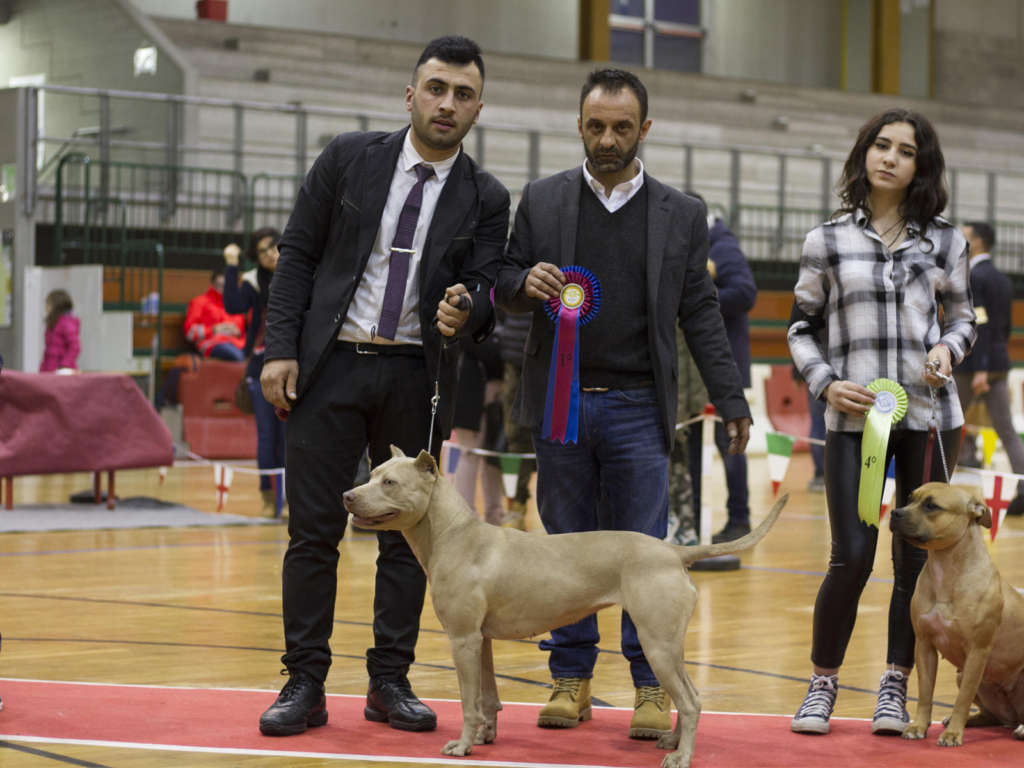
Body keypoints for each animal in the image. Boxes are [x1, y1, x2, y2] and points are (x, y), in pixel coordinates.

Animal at [888, 487, 1024, 745]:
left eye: (932, 506)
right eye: (910, 498)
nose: (895, 512)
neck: (946, 568)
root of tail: (1013, 716)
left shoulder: (977, 652)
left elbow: (962, 698)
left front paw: (952, 735)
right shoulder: (925, 645)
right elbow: (925, 692)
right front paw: (919, 726)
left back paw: (1020, 728)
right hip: (966, 678)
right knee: (991, 715)